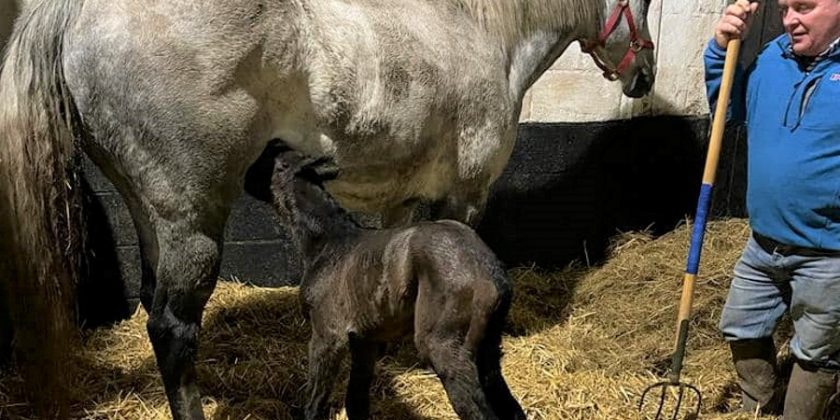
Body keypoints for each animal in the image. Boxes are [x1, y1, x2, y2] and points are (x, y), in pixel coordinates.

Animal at [268, 146, 524, 420]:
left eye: (279, 163)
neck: (328, 241)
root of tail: (491, 272)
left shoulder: (327, 336)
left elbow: (316, 401)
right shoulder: (364, 340)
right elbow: (357, 397)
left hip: (445, 345)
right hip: (488, 349)